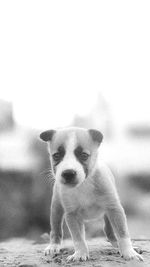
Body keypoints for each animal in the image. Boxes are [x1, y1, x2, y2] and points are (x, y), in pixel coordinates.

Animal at [39, 127, 143, 262]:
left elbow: (123, 233)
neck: (84, 184)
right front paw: (80, 253)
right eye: (56, 156)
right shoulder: (72, 215)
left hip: (108, 215)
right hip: (56, 209)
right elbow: (78, 238)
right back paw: (53, 246)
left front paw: (129, 253)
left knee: (109, 231)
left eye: (84, 155)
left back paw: (118, 245)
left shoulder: (115, 209)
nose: (68, 173)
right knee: (56, 230)